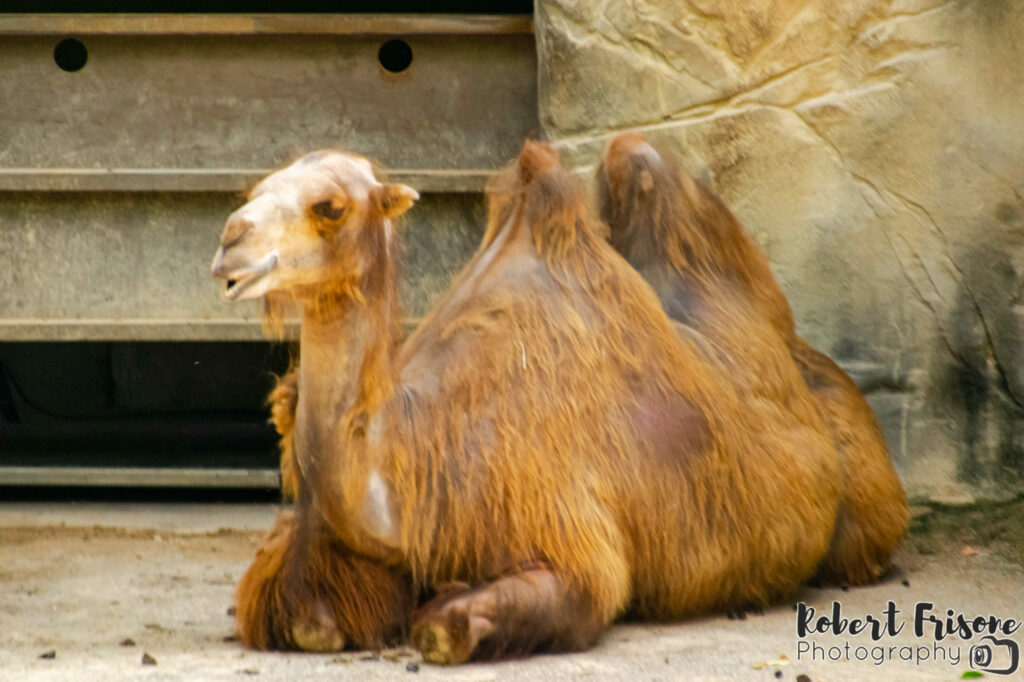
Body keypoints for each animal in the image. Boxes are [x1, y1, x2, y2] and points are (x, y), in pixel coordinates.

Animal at [211, 140, 843, 659]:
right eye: (256, 190)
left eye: (330, 206)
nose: (230, 242)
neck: (411, 459)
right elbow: (304, 618)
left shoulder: (568, 535)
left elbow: (446, 629)